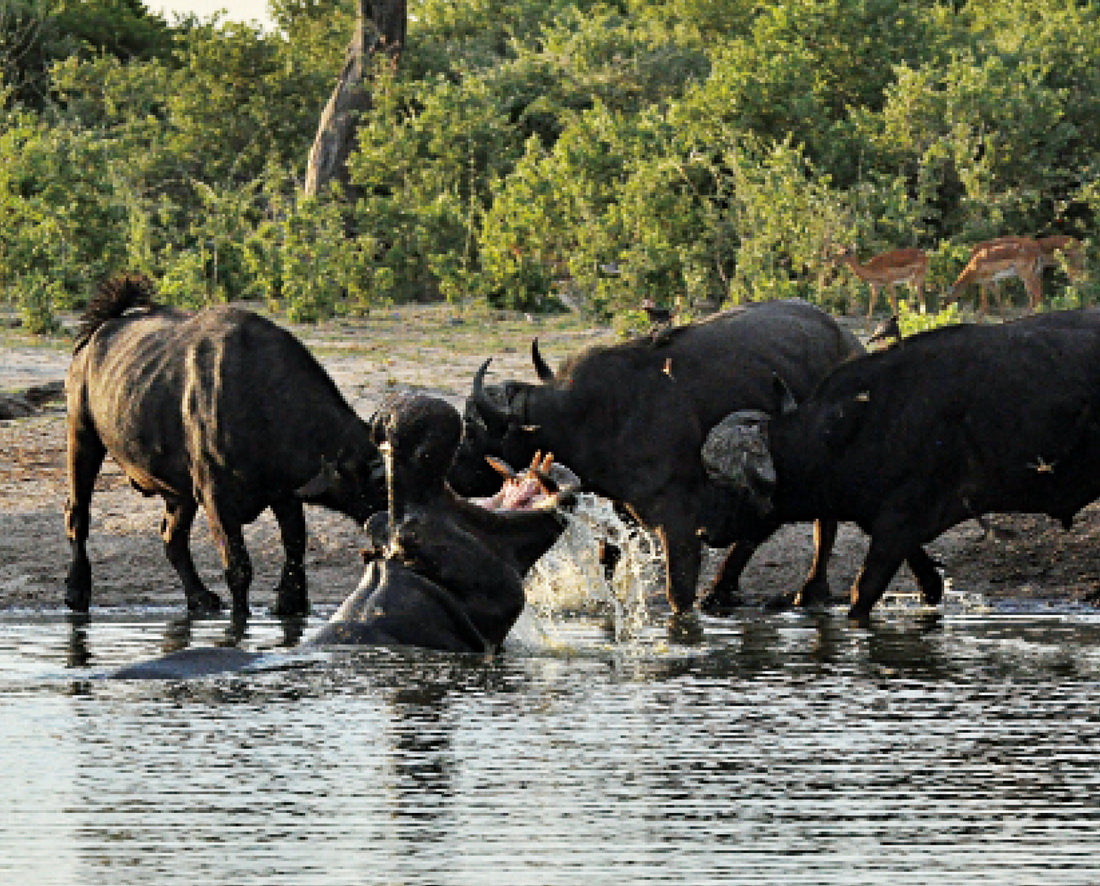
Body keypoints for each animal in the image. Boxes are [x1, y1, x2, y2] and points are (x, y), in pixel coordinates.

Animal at [65, 272, 387, 620]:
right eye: (382, 482)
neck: (261, 399)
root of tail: (99, 331)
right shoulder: (216, 498)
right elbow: (239, 567)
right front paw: (240, 619)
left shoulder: (284, 494)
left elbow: (295, 549)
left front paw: (290, 604)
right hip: (82, 436)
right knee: (78, 516)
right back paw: (76, 590)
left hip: (179, 491)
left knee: (172, 537)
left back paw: (199, 597)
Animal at [451, 301, 862, 611]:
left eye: (472, 428)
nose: (450, 470)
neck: (595, 415)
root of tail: (851, 342)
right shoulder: (622, 511)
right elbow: (607, 560)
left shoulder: (679, 526)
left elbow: (678, 593)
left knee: (821, 525)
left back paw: (808, 590)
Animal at [704, 308, 1100, 620]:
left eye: (731, 489)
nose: (705, 532)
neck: (854, 427)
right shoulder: (892, 521)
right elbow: (930, 582)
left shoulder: (899, 522)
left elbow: (862, 591)